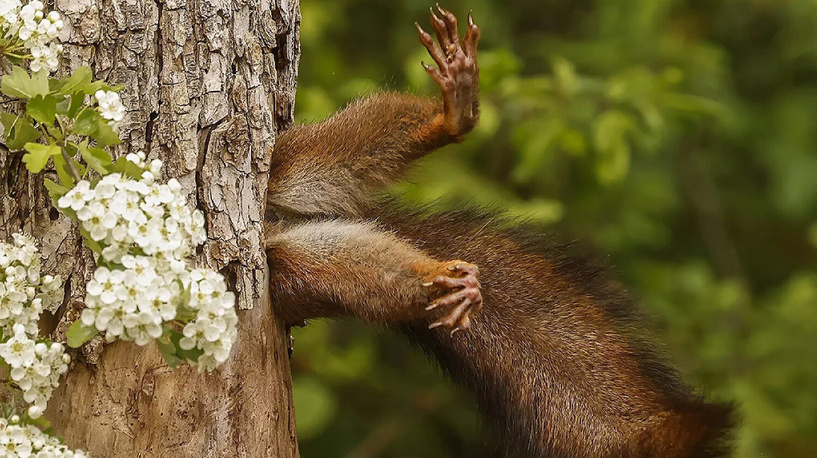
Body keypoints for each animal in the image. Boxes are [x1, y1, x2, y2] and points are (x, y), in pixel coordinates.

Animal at [262, 5, 732, 456]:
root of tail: (278, 222)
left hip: (289, 162)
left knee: (345, 148)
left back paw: (453, 114)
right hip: (291, 270)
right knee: (358, 275)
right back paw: (440, 281)